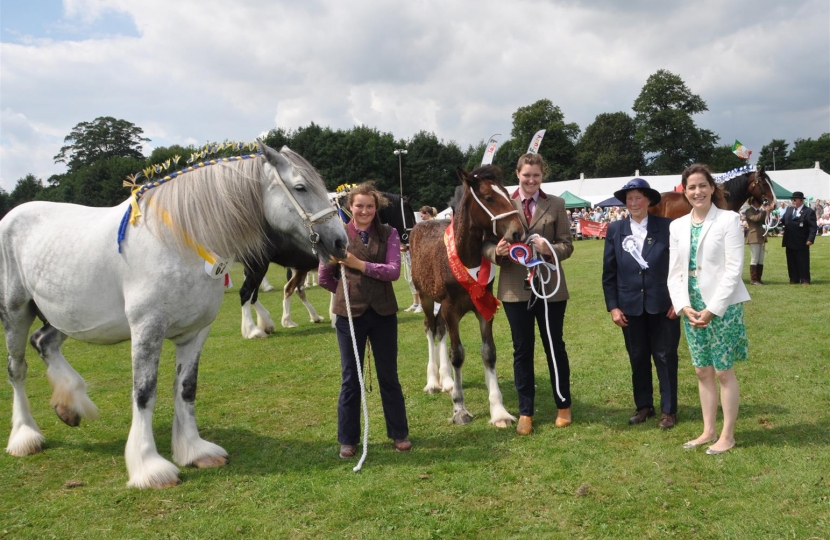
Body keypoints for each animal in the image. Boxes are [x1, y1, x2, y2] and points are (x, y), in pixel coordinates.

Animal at [0, 141, 350, 488]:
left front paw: (194, 450)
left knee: (43, 341)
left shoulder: (195, 332)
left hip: (66, 316)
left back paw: (69, 404)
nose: (340, 241)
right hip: (16, 313)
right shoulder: (147, 329)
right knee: (17, 370)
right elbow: (144, 392)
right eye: (301, 187)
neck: (178, 243)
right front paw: (148, 466)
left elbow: (186, 388)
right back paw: (25, 436)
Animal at [237, 191, 416, 338]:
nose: (410, 240)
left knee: (284, 290)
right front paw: (337, 318)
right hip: (258, 266)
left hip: (289, 268)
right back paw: (252, 330)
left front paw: (333, 316)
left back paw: (288, 321)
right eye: (409, 215)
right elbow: (338, 290)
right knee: (247, 293)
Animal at [412, 167, 528, 428]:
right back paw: (433, 382)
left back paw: (446, 381)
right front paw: (459, 409)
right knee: (429, 328)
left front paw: (499, 412)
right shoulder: (450, 309)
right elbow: (457, 354)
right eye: (489, 198)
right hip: (425, 297)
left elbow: (488, 352)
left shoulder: (483, 307)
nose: (518, 232)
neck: (465, 255)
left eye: (507, 193)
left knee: (440, 330)